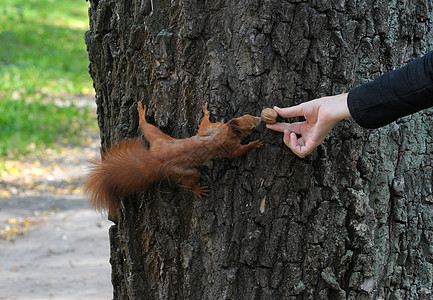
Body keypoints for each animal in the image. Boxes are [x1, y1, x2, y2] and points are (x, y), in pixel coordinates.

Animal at [83, 102, 262, 213]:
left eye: (247, 115)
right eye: (251, 128)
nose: (259, 118)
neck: (227, 131)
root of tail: (158, 159)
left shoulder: (212, 128)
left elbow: (204, 125)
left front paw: (205, 112)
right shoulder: (229, 146)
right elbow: (237, 152)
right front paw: (254, 144)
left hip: (159, 139)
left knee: (147, 128)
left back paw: (141, 116)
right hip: (185, 171)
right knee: (187, 183)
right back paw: (196, 189)